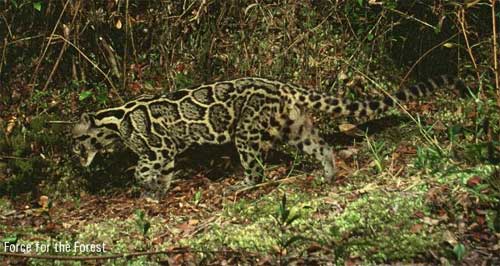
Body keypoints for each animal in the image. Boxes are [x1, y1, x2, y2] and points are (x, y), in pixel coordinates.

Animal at [72, 76, 466, 198]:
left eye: (76, 143)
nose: (76, 158)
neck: (113, 123)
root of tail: (280, 84)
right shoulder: (166, 153)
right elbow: (164, 174)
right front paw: (158, 192)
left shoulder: (159, 147)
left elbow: (143, 169)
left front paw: (147, 186)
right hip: (295, 127)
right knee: (320, 144)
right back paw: (329, 173)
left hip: (245, 131)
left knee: (257, 166)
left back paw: (244, 185)